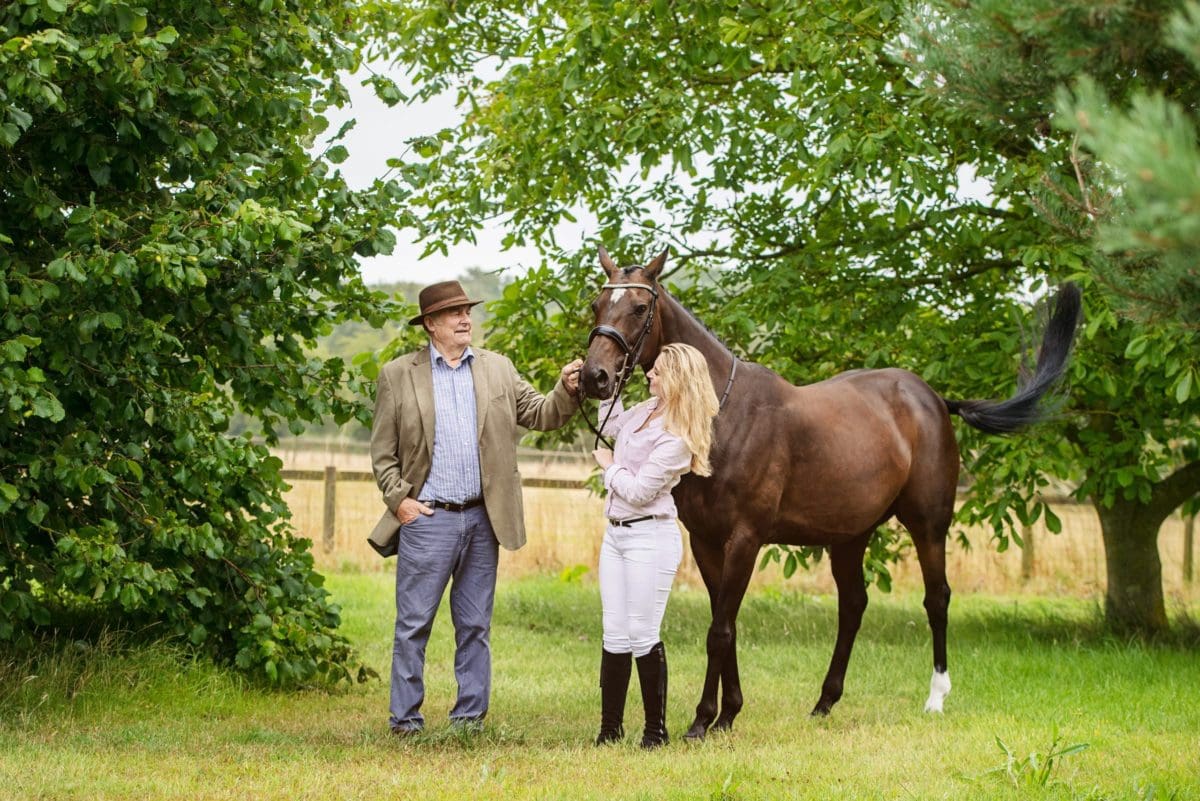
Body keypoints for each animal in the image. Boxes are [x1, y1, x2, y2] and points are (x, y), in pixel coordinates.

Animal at [580, 246, 1081, 740]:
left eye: (639, 307)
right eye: (597, 304)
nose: (593, 378)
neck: (721, 413)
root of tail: (935, 400)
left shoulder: (745, 539)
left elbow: (719, 629)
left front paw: (705, 720)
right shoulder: (705, 540)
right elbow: (728, 624)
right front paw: (728, 714)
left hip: (928, 524)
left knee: (936, 598)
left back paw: (936, 697)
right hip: (850, 536)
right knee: (853, 605)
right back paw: (825, 701)